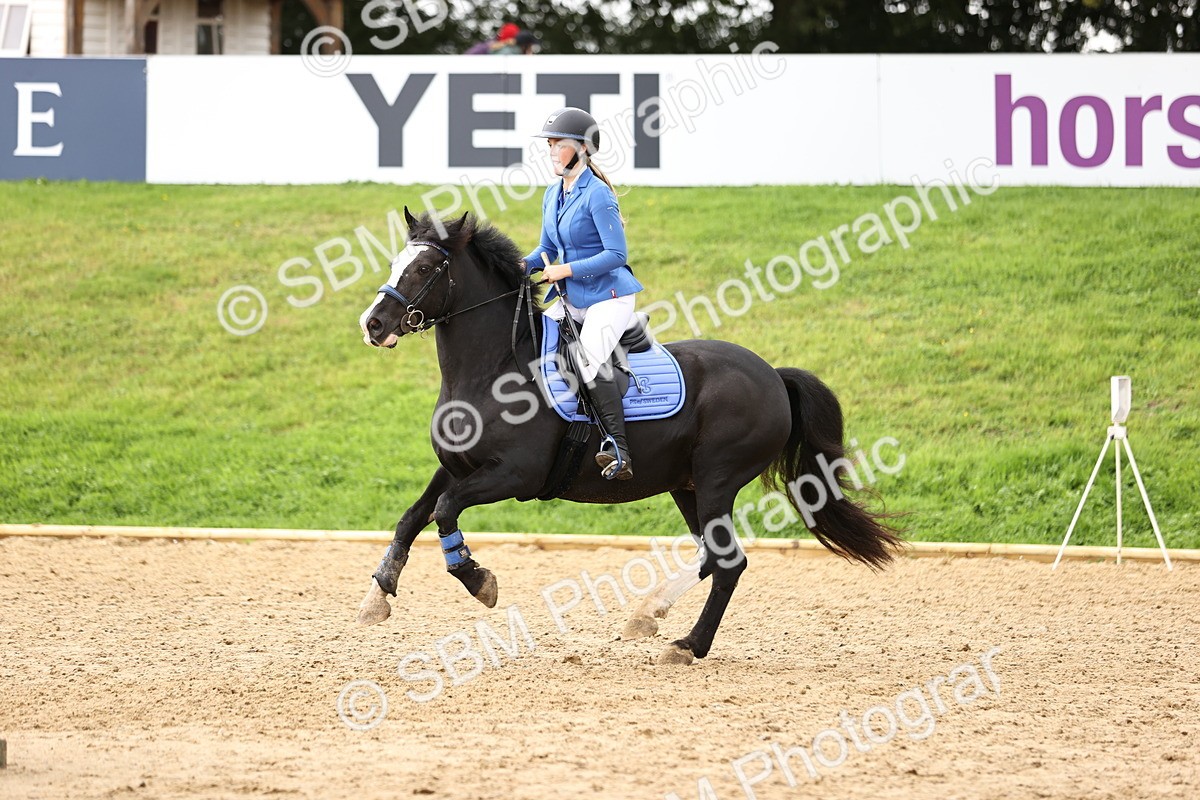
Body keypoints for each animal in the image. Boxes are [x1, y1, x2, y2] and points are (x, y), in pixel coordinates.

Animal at [356, 208, 902, 665]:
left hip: (717, 478)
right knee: (712, 555)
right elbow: (413, 517)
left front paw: (478, 580)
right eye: (396, 262)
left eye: (426, 268)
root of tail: (772, 374)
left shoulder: (514, 475)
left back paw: (686, 645)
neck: (494, 368)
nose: (373, 324)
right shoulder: (455, 466)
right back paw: (648, 615)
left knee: (728, 562)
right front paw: (378, 595)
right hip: (688, 485)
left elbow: (446, 510)